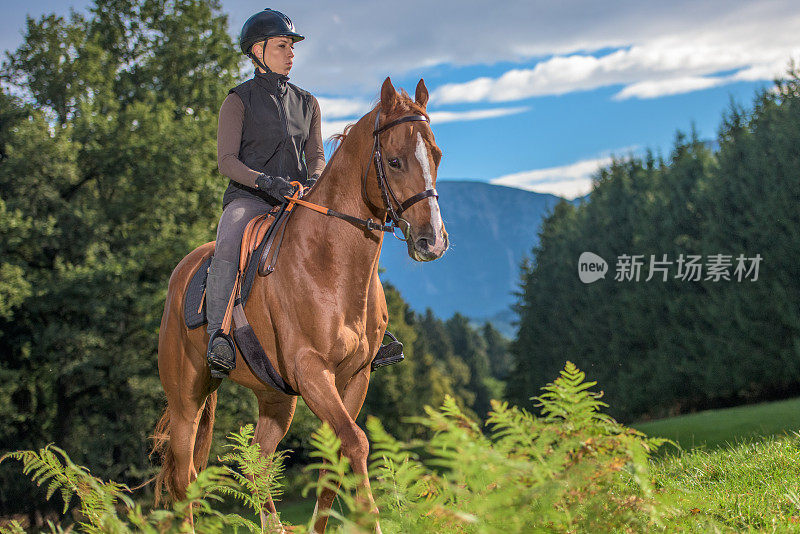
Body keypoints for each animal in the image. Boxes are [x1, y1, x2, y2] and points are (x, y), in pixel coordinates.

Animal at [150, 77, 446, 532]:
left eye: (436, 155)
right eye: (395, 162)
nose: (433, 241)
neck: (331, 264)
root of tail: (181, 274)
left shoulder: (355, 377)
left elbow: (335, 462)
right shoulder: (311, 371)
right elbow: (356, 442)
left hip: (276, 398)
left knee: (256, 462)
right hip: (186, 401)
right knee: (184, 479)